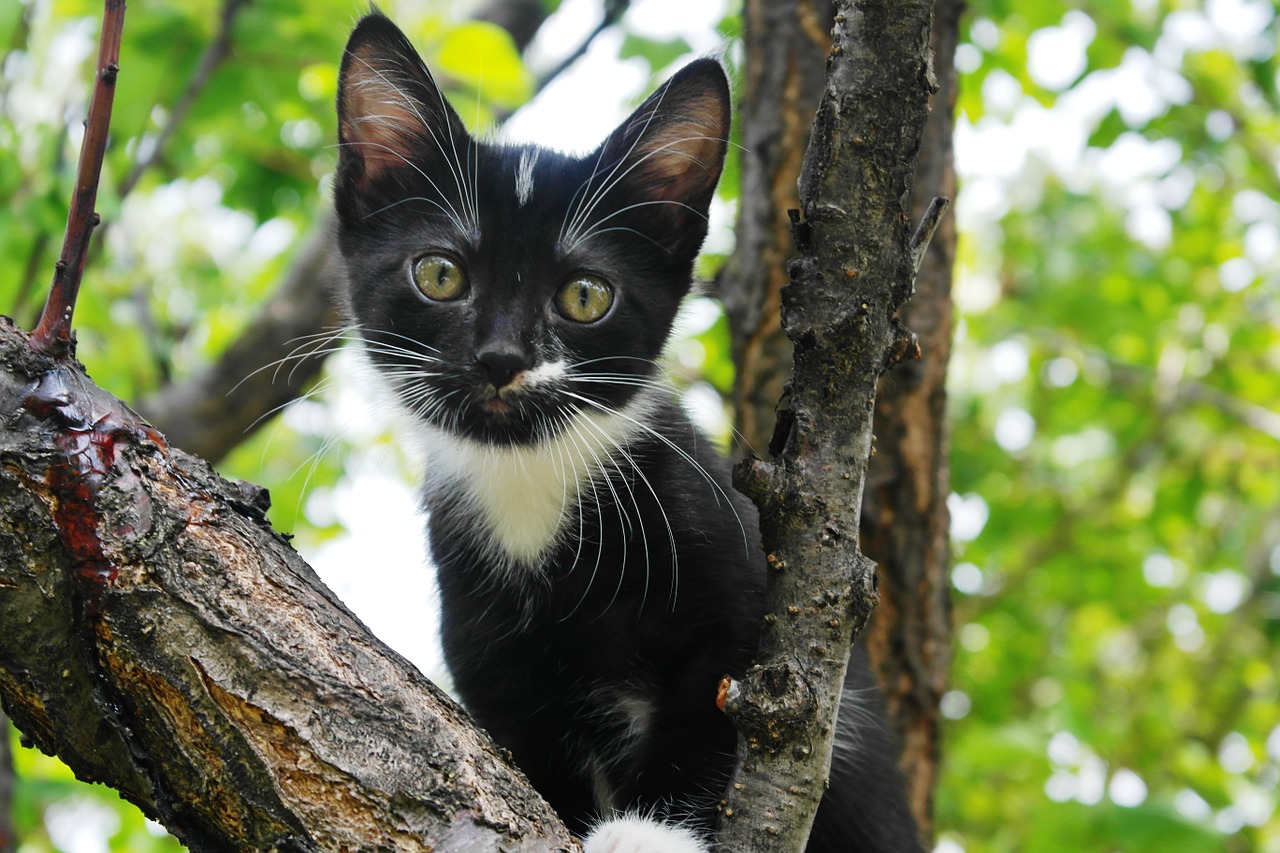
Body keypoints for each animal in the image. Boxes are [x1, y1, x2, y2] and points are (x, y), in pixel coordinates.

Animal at [335, 13, 916, 850]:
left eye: (586, 295)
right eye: (440, 275)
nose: (502, 357)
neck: (535, 486)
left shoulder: (736, 575)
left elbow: (726, 709)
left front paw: (650, 830)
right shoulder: (492, 669)